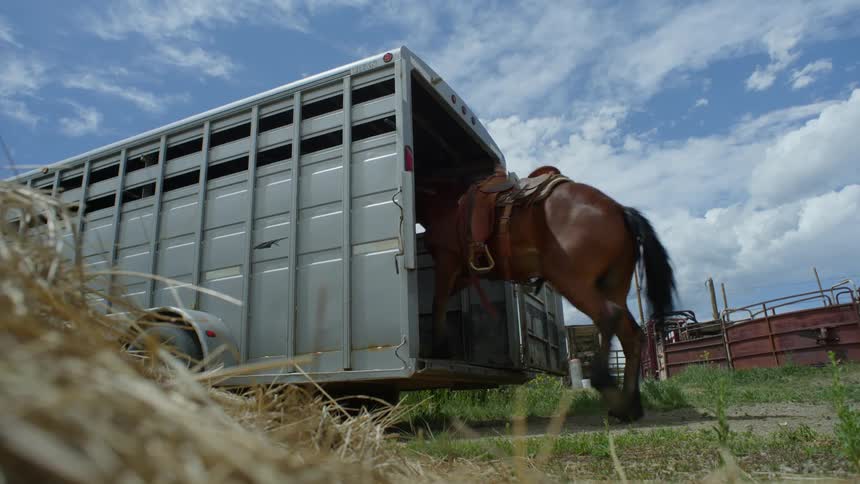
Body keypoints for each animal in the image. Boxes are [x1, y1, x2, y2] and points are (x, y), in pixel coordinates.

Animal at [414, 166, 676, 422]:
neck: (446, 203)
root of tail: (620, 210)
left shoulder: (447, 262)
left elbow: (438, 301)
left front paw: (439, 347)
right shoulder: (465, 274)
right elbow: (442, 299)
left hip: (571, 280)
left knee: (609, 316)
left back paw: (608, 389)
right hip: (614, 288)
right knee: (632, 335)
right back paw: (630, 407)